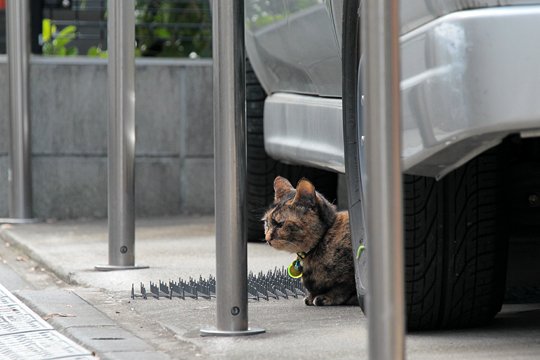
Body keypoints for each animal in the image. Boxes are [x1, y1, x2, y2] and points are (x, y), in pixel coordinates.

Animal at [262, 176, 356, 306]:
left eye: (280, 224)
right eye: (267, 223)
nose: (267, 238)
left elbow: (342, 288)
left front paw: (327, 297)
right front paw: (311, 297)